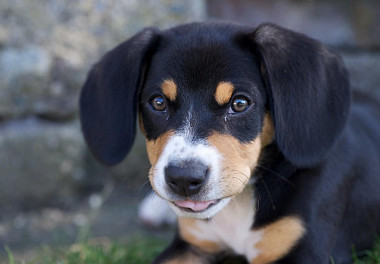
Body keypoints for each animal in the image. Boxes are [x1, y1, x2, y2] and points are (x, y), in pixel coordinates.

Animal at [79, 22, 380, 264]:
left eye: (240, 104)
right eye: (158, 102)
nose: (183, 179)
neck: (240, 202)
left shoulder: (304, 249)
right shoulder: (190, 245)